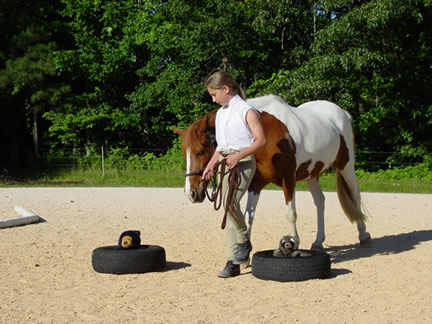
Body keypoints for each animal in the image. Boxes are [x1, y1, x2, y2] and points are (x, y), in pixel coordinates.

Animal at [174, 95, 370, 249]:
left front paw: (294, 242)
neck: (265, 133)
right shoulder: (255, 184)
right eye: (184, 153)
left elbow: (291, 214)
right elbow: (248, 217)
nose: (191, 193)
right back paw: (318, 241)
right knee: (320, 202)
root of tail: (342, 113)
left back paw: (363, 234)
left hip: (346, 166)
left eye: (200, 151)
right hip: (312, 173)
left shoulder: (288, 179)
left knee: (355, 195)